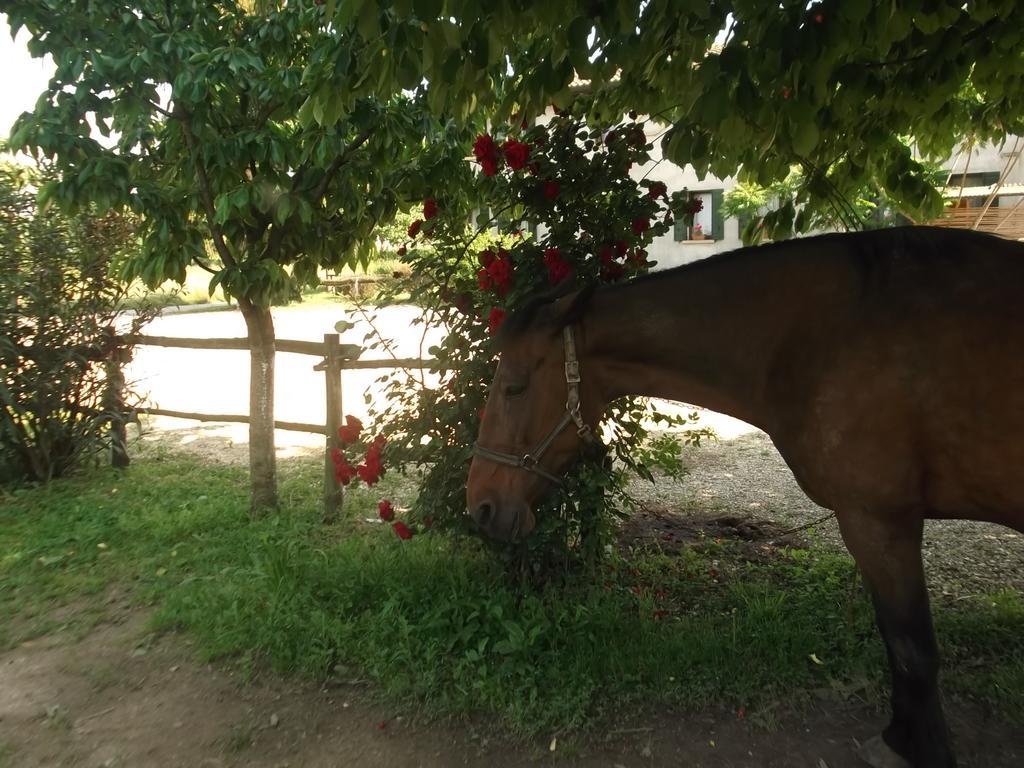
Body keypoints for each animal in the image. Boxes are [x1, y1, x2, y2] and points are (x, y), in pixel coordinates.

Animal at [468, 225, 1024, 768]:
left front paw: (915, 746)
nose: (481, 507)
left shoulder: (879, 520)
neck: (820, 339)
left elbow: (912, 649)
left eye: (514, 387)